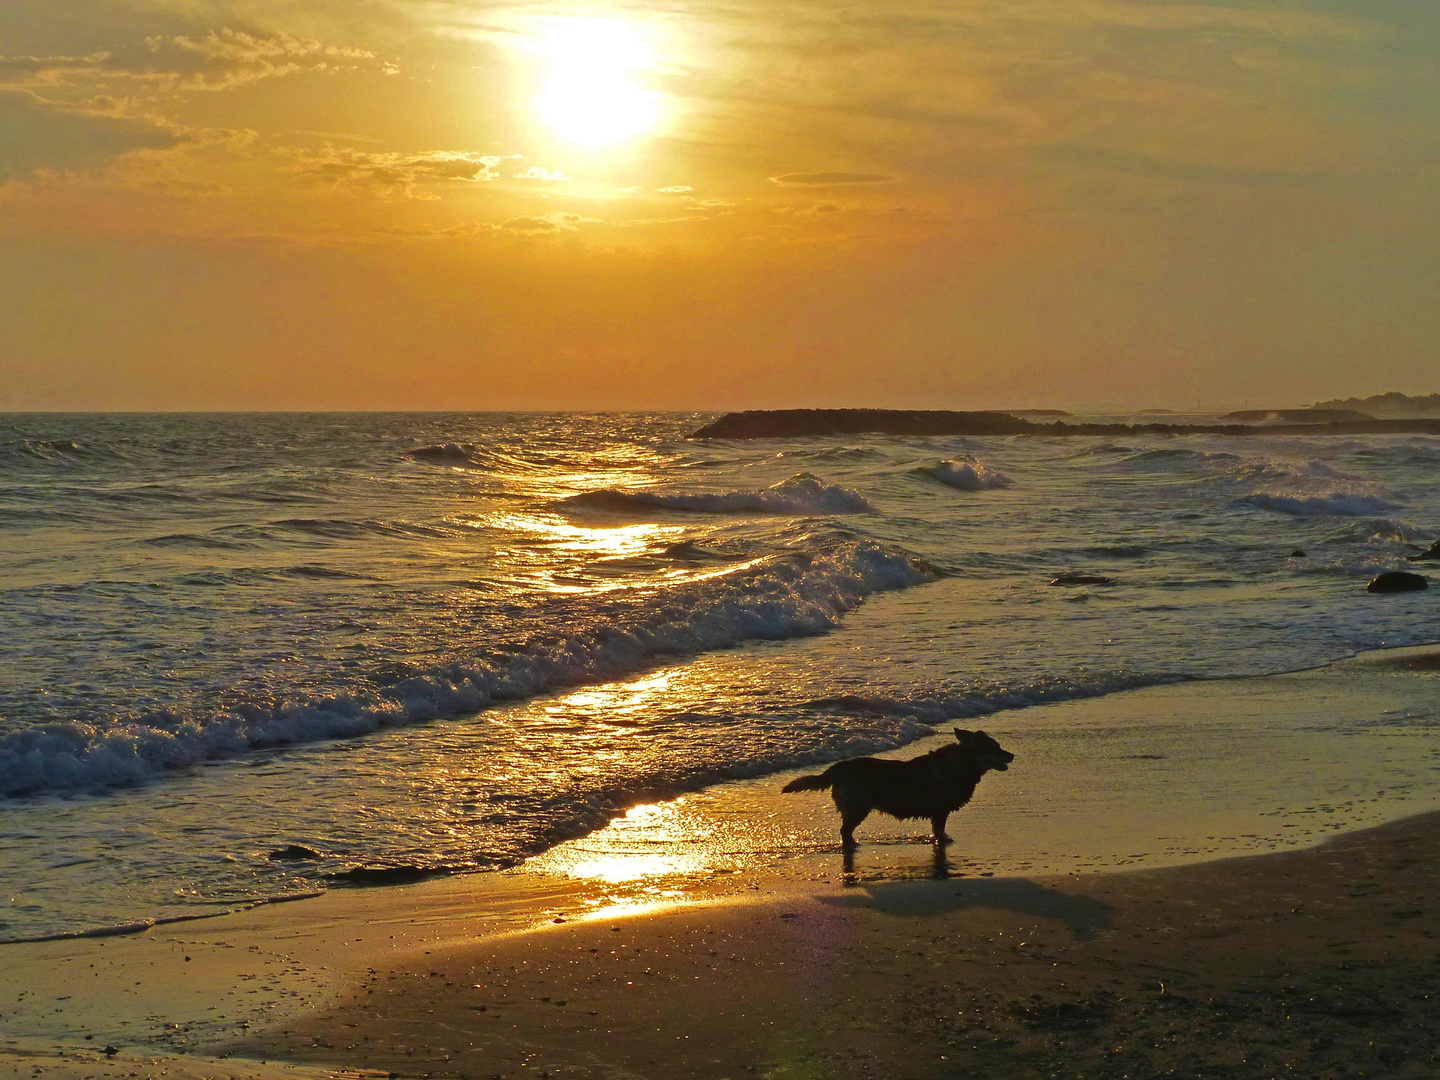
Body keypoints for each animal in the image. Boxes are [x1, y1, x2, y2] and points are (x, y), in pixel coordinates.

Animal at [777, 731, 1013, 852]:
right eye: (994, 747)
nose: (1012, 755)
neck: (962, 763)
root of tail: (838, 767)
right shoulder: (940, 812)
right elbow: (939, 831)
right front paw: (943, 842)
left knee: (846, 830)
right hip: (858, 807)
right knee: (845, 831)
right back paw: (851, 846)